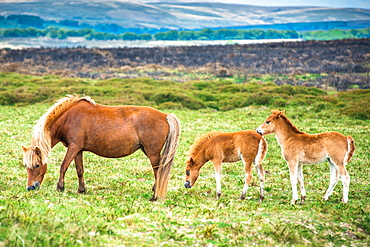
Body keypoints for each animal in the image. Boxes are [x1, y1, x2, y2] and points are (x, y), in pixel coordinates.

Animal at [21, 94, 181, 201]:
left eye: (37, 165)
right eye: (26, 166)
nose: (30, 188)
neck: (69, 118)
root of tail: (165, 115)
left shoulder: (73, 148)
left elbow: (63, 166)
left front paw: (60, 188)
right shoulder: (78, 150)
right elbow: (79, 170)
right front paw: (81, 190)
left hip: (152, 153)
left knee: (158, 172)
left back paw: (155, 196)